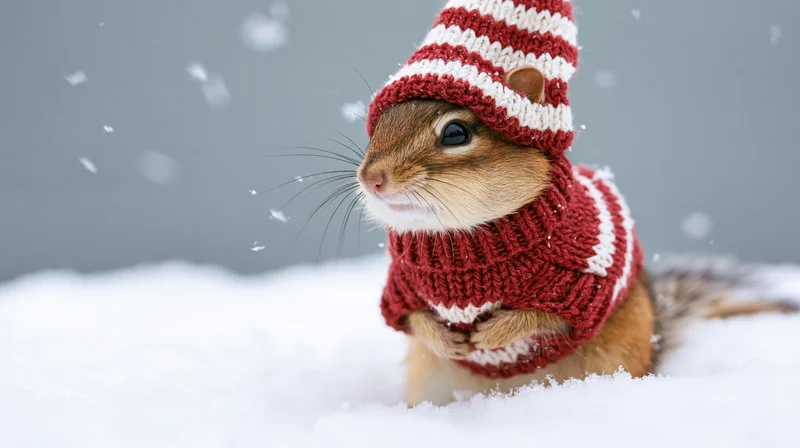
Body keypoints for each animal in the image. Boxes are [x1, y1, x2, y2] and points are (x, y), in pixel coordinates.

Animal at [355, 66, 797, 407]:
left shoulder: (584, 281)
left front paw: (492, 333)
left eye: (455, 133)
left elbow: (544, 315)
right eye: (377, 124)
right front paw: (445, 339)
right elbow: (411, 316)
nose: (371, 178)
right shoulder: (404, 284)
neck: (463, 237)